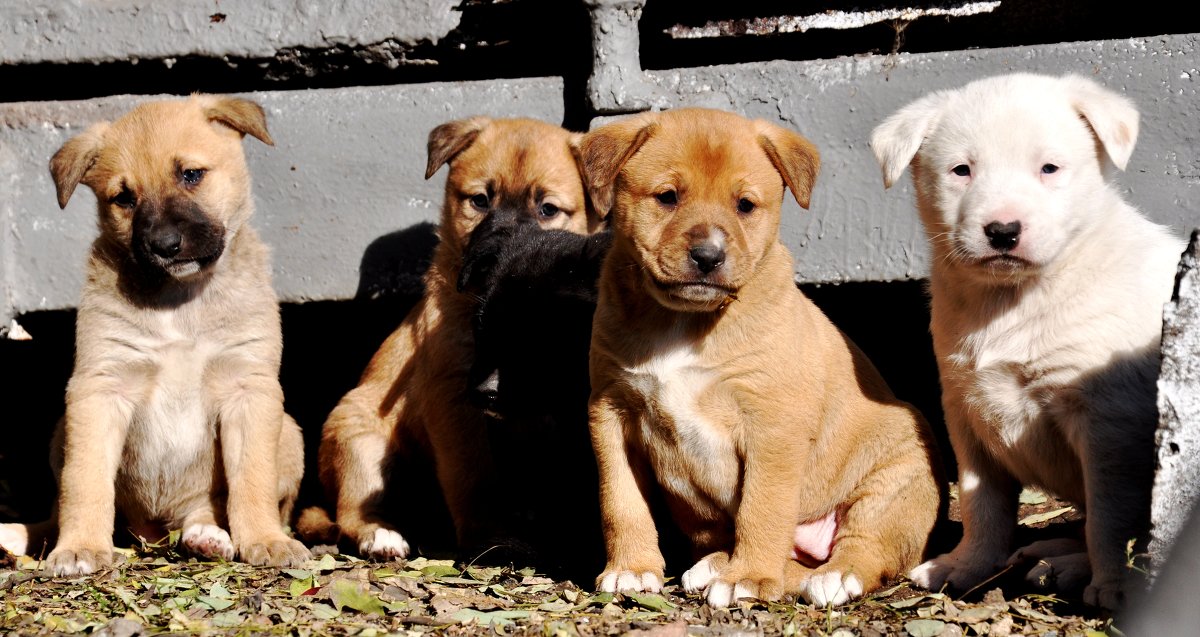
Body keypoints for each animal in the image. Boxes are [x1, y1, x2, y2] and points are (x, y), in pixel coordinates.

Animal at [0, 95, 314, 578]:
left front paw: (265, 540)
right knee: (56, 513)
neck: (179, 301)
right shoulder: (99, 388)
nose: (165, 245)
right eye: (124, 198)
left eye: (191, 174)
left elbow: (252, 478)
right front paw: (80, 546)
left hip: (291, 433)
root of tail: (156, 533)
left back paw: (207, 537)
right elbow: (84, 481)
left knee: (208, 509)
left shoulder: (249, 388)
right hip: (60, 431)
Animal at [304, 116, 595, 561]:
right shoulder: (453, 396)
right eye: (480, 201)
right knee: (351, 510)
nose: (497, 253)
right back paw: (380, 533)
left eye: (547, 209)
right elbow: (473, 474)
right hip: (359, 438)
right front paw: (488, 537)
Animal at [583, 108, 945, 609]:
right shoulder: (611, 412)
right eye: (668, 197)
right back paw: (716, 566)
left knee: (868, 548)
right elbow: (621, 501)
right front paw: (631, 569)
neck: (685, 322)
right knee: (784, 561)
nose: (708, 256)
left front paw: (749, 578)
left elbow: (763, 508)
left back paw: (834, 576)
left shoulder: (773, 424)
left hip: (898, 476)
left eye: (745, 205)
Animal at [868, 72, 1185, 611]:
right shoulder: (965, 409)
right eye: (962, 170)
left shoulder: (1109, 422)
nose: (1002, 231)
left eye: (1049, 168)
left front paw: (1114, 586)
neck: (1015, 300)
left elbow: (1110, 515)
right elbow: (982, 501)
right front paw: (967, 565)